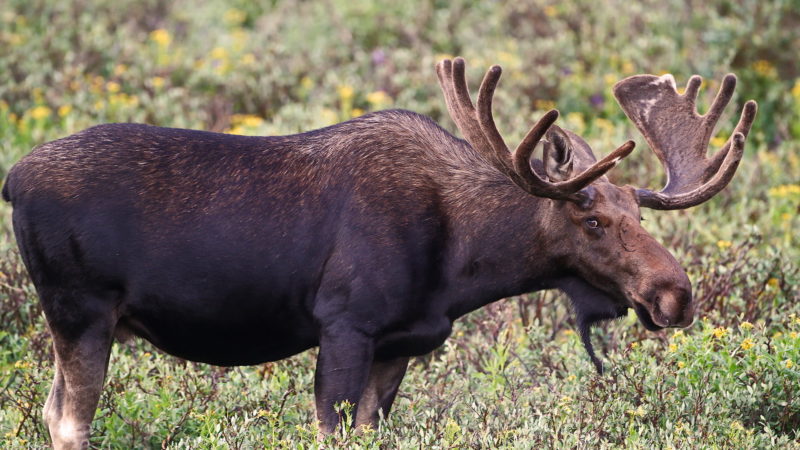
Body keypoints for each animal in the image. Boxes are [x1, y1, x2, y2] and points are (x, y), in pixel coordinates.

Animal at [3, 58, 756, 448]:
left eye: (638, 212)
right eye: (591, 218)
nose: (676, 294)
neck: (462, 265)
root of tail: (12, 181)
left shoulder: (402, 344)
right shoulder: (345, 324)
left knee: (49, 411)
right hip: (80, 310)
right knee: (68, 421)